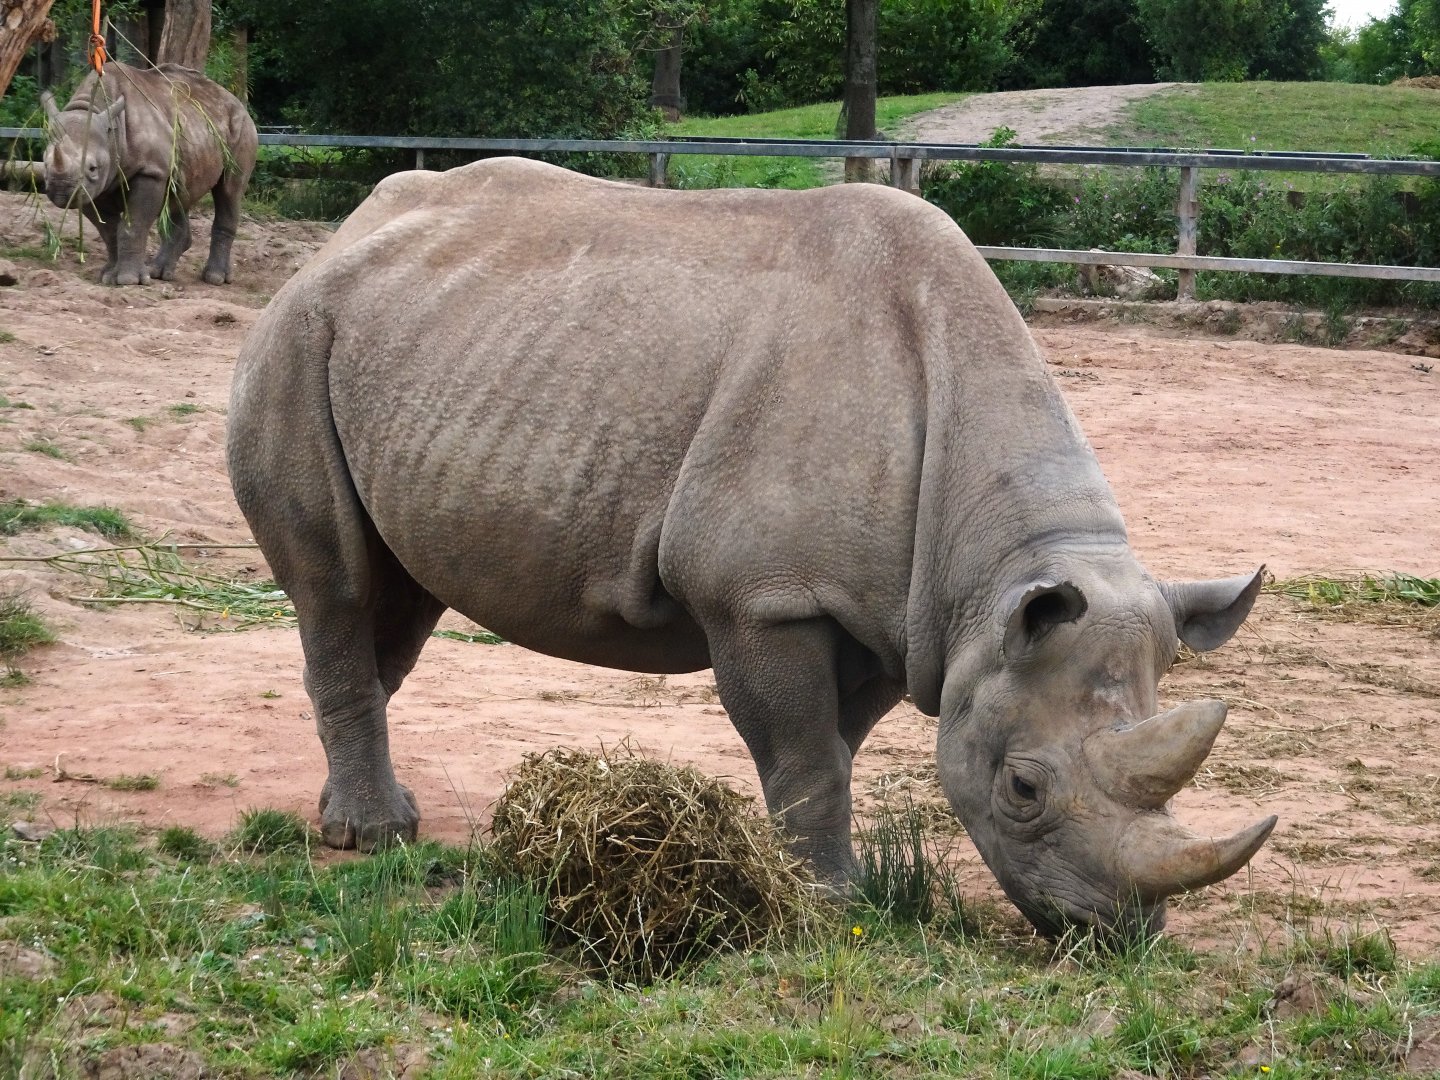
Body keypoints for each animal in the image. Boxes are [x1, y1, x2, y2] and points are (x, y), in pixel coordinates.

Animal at [42, 61, 257, 286]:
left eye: (92, 168)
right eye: (45, 163)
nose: (60, 189)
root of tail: (233, 99)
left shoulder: (150, 172)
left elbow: (134, 225)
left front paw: (128, 280)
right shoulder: (91, 188)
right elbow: (109, 231)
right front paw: (108, 276)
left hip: (241, 127)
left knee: (229, 191)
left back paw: (215, 278)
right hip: (191, 130)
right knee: (180, 195)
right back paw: (159, 273)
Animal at [228, 157, 1276, 938]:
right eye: (1022, 787)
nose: (1119, 933)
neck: (993, 576)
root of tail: (338, 239)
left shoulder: (907, 617)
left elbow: (831, 749)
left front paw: (805, 880)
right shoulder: (765, 596)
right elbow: (804, 749)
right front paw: (832, 906)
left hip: (419, 339)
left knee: (395, 598)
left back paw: (359, 815)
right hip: (294, 341)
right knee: (338, 585)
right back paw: (374, 840)